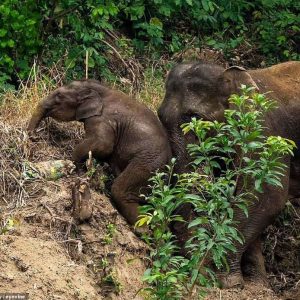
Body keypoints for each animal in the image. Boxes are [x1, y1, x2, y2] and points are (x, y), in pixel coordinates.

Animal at [28, 79, 171, 225]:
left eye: (59, 96)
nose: (34, 137)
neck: (100, 89)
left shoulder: (103, 119)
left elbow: (104, 145)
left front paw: (74, 166)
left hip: (149, 164)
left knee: (119, 190)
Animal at [157, 61, 300, 288]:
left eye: (196, 118)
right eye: (160, 117)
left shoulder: (264, 135)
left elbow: (266, 197)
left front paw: (223, 279)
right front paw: (256, 284)